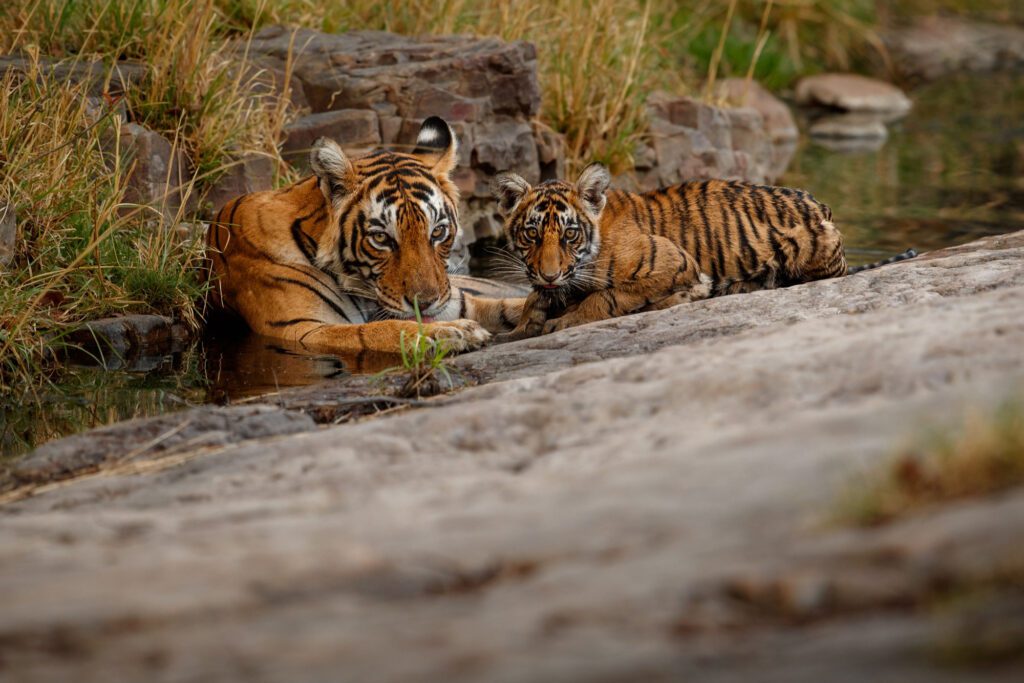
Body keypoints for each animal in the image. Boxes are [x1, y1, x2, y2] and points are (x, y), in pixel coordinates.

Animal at [208, 116, 528, 352]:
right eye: (381, 238)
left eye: (437, 232)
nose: (425, 303)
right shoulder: (301, 329)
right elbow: (374, 330)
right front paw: (450, 332)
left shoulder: (456, 299)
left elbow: (505, 306)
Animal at [491, 163, 917, 339]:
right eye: (532, 235)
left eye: (569, 235)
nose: (549, 274)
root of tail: (821, 205)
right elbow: (535, 298)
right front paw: (526, 321)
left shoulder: (671, 263)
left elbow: (607, 297)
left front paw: (563, 320)